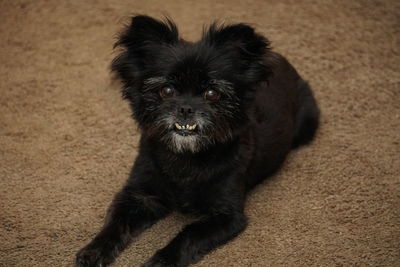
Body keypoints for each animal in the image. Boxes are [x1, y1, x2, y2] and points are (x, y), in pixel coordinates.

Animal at [74, 15, 318, 266]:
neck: (186, 157)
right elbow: (114, 223)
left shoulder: (226, 215)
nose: (185, 108)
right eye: (166, 90)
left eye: (212, 93)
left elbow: (187, 236)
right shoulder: (139, 196)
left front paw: (161, 261)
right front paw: (95, 250)